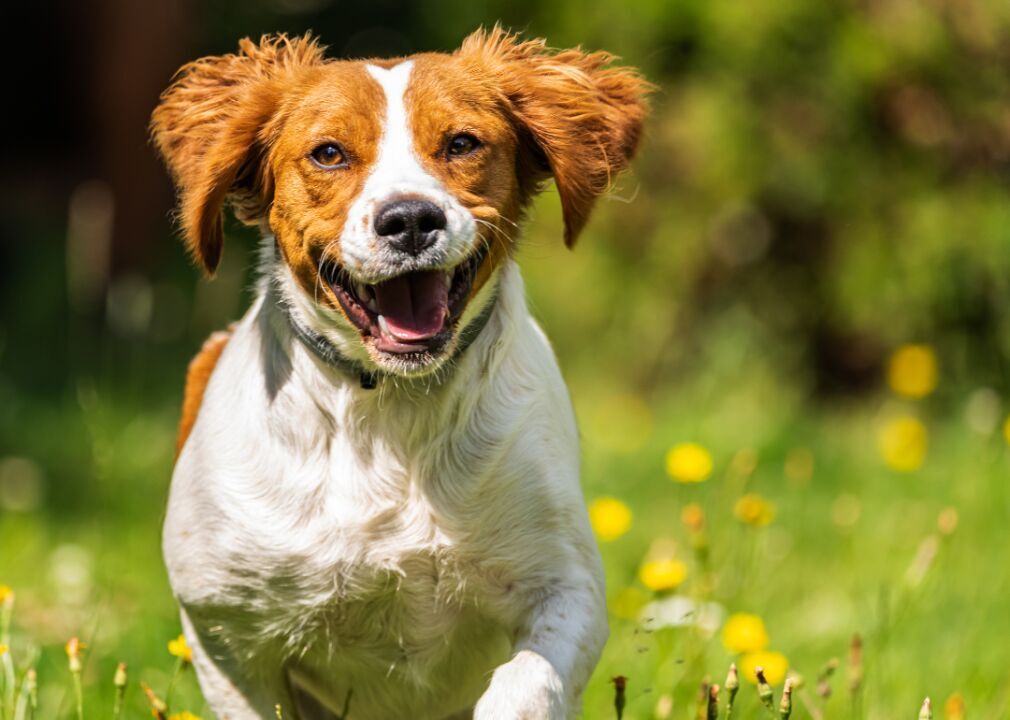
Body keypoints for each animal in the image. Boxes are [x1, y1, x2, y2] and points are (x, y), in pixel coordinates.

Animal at [154, 26, 650, 718]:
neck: (390, 408)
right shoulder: (224, 627)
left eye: (462, 143)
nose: (411, 219)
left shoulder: (567, 583)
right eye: (329, 153)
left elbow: (525, 685)